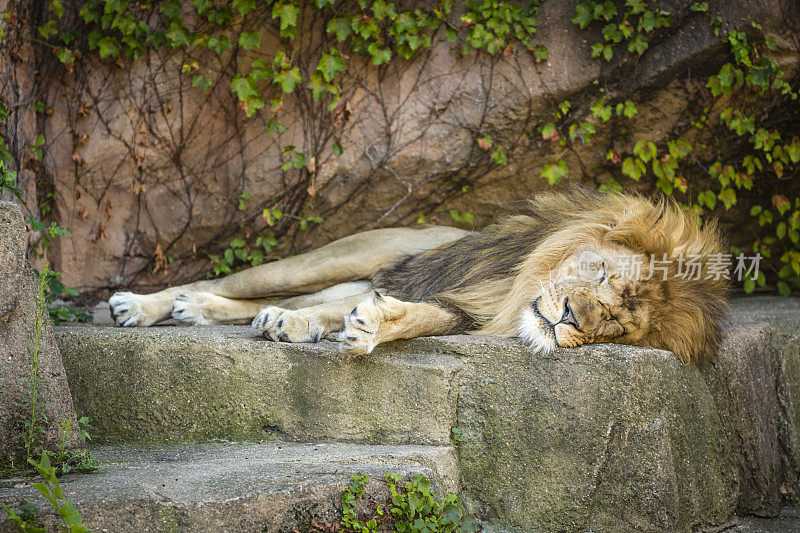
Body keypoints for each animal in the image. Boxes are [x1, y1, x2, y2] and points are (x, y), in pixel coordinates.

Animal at [109, 187, 728, 366]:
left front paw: (367, 327)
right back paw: (141, 305)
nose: (570, 320)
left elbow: (410, 317)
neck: (515, 293)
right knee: (244, 281)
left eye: (616, 325)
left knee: (284, 299)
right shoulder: (431, 276)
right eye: (602, 280)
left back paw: (204, 310)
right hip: (349, 255)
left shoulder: (461, 308)